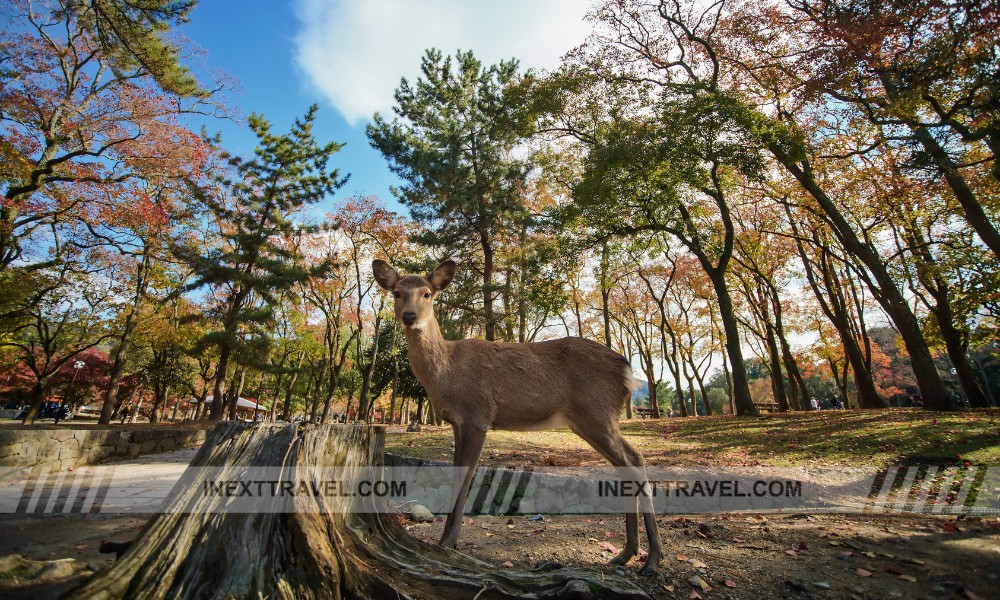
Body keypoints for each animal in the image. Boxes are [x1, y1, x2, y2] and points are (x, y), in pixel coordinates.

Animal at [376, 258, 664, 576]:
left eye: (427, 293)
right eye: (397, 293)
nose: (409, 316)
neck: (445, 375)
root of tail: (627, 371)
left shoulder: (477, 415)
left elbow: (465, 478)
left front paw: (448, 542)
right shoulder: (457, 423)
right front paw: (446, 539)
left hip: (596, 413)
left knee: (632, 463)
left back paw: (651, 560)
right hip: (593, 419)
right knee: (631, 461)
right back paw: (626, 554)